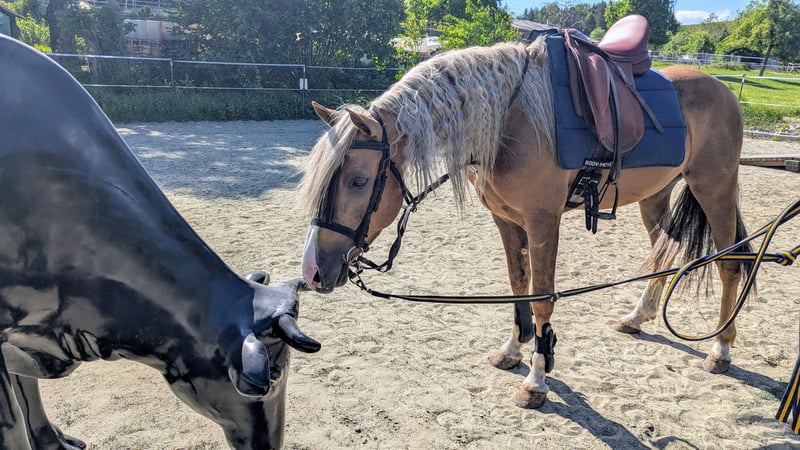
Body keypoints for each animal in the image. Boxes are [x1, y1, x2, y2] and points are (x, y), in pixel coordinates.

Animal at [296, 27, 752, 409]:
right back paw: (637, 317)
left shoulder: (542, 221)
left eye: (358, 181)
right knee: (664, 251)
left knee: (730, 266)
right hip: (655, 196)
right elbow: (518, 287)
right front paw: (514, 350)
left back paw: (721, 349)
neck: (510, 120)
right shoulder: (508, 220)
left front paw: (537, 379)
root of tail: (725, 90)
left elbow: (542, 297)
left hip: (715, 187)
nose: (312, 271)